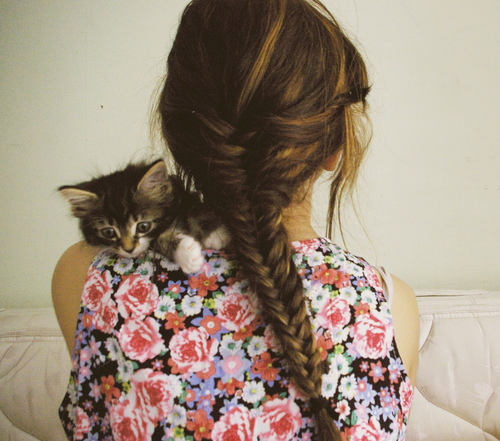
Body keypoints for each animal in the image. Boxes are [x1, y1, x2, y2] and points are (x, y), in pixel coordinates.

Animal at [59, 159, 230, 273]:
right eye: (108, 232)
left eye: (143, 226)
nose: (128, 249)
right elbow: (159, 239)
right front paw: (188, 255)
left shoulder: (184, 196)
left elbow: (196, 209)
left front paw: (217, 234)